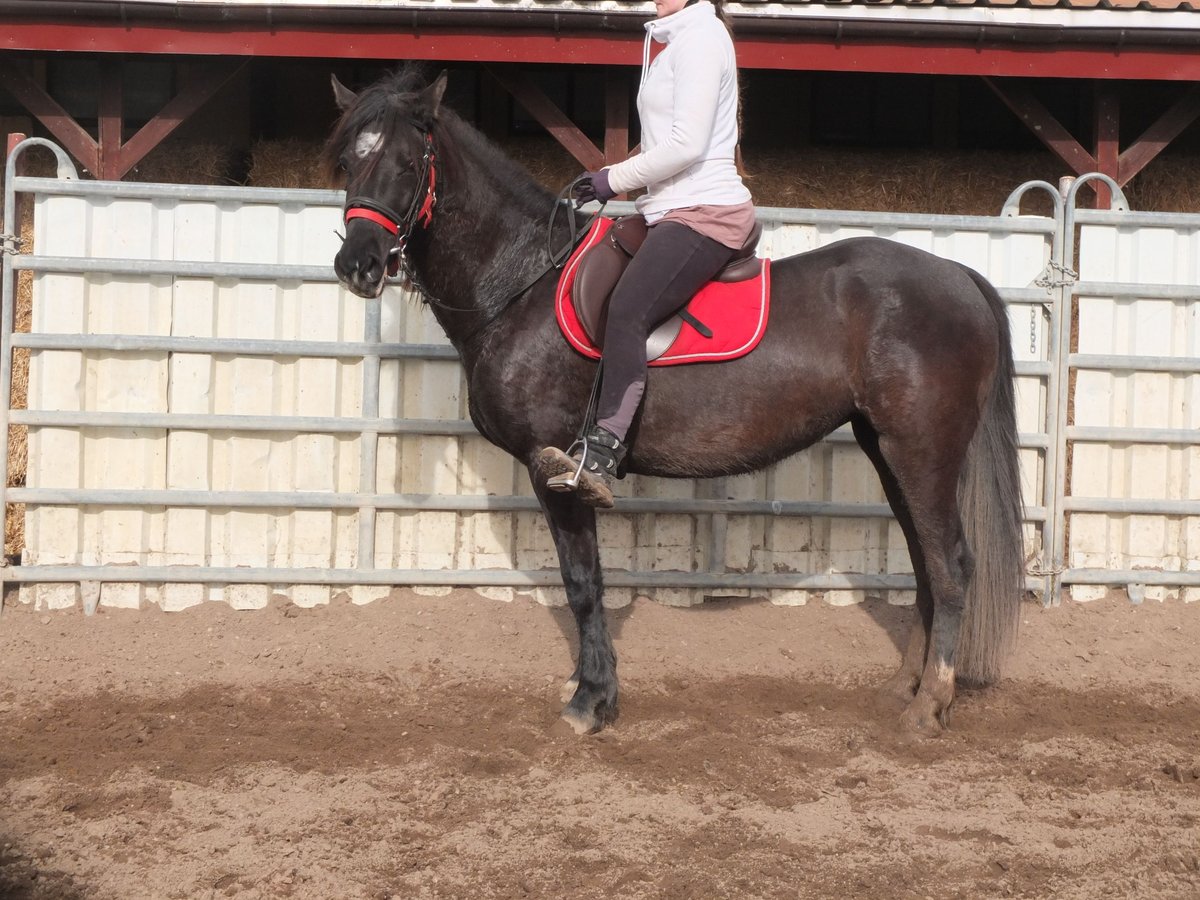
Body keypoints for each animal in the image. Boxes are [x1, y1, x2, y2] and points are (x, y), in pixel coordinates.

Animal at [326, 68, 1022, 739]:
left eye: (408, 163)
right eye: (347, 162)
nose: (358, 264)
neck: (523, 284)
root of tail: (959, 276)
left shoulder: (557, 471)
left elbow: (583, 584)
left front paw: (591, 700)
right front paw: (588, 684)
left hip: (922, 451)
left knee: (950, 564)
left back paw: (929, 706)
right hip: (888, 451)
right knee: (926, 564)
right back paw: (905, 687)